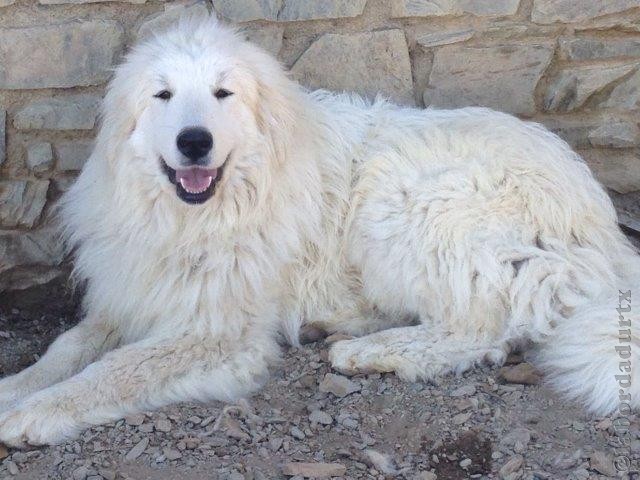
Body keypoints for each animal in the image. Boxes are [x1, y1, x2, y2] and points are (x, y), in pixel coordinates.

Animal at [1, 17, 640, 446]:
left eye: (223, 92)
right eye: (163, 95)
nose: (194, 141)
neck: (198, 218)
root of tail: (601, 223)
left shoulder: (217, 332)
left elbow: (112, 372)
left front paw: (35, 412)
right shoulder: (132, 295)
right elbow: (67, 349)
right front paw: (18, 386)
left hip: (400, 204)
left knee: (479, 330)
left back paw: (368, 351)